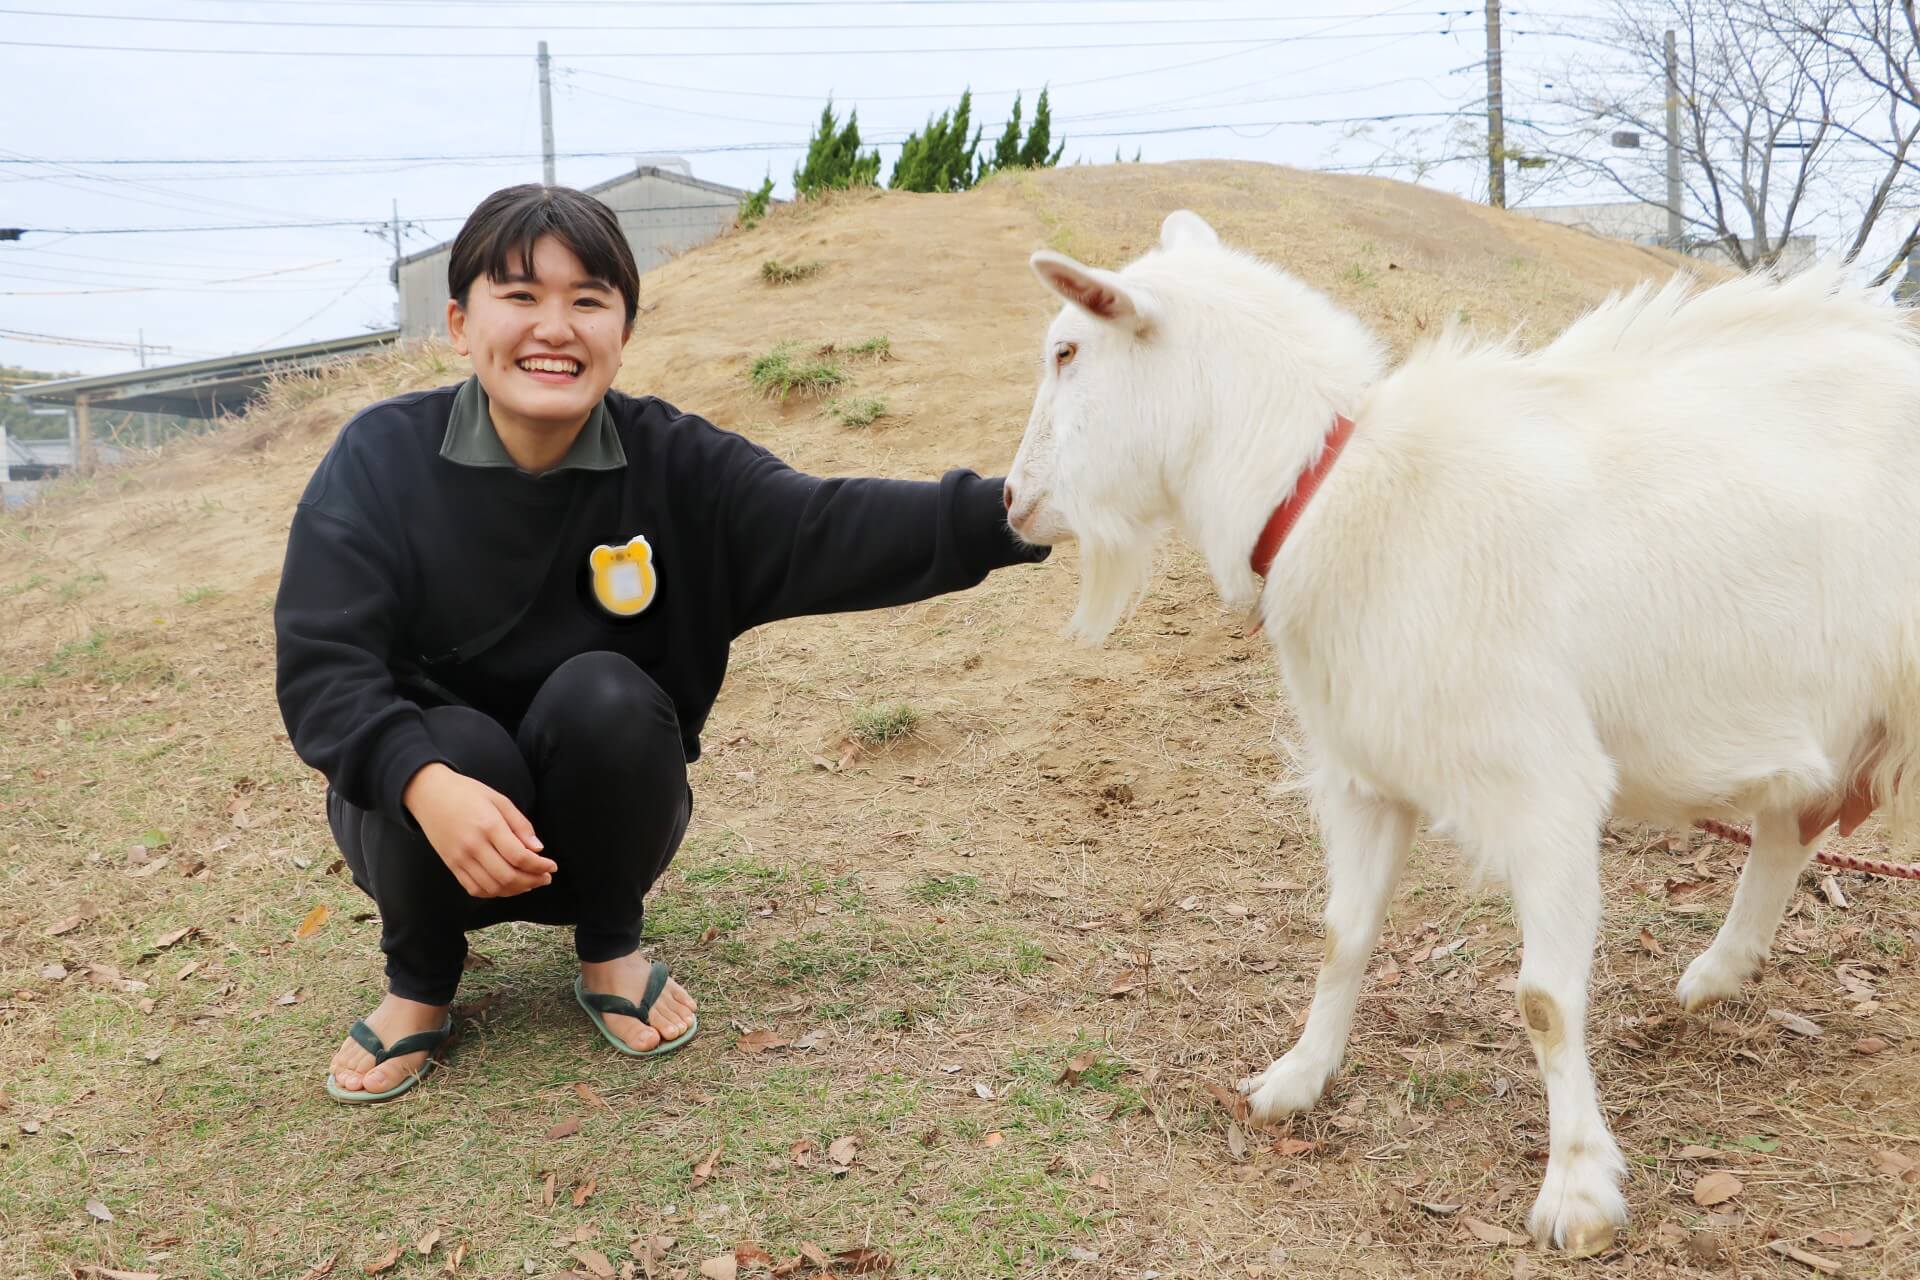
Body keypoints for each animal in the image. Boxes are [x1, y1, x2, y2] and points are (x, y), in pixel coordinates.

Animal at [998, 213, 1920, 1258]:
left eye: (1068, 350)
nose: (1012, 501)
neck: (1342, 491)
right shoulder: (1364, 774)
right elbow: (1342, 935)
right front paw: (1294, 1079)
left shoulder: (1545, 786)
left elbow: (1545, 1001)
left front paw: (1578, 1192)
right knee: (1789, 825)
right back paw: (1719, 974)